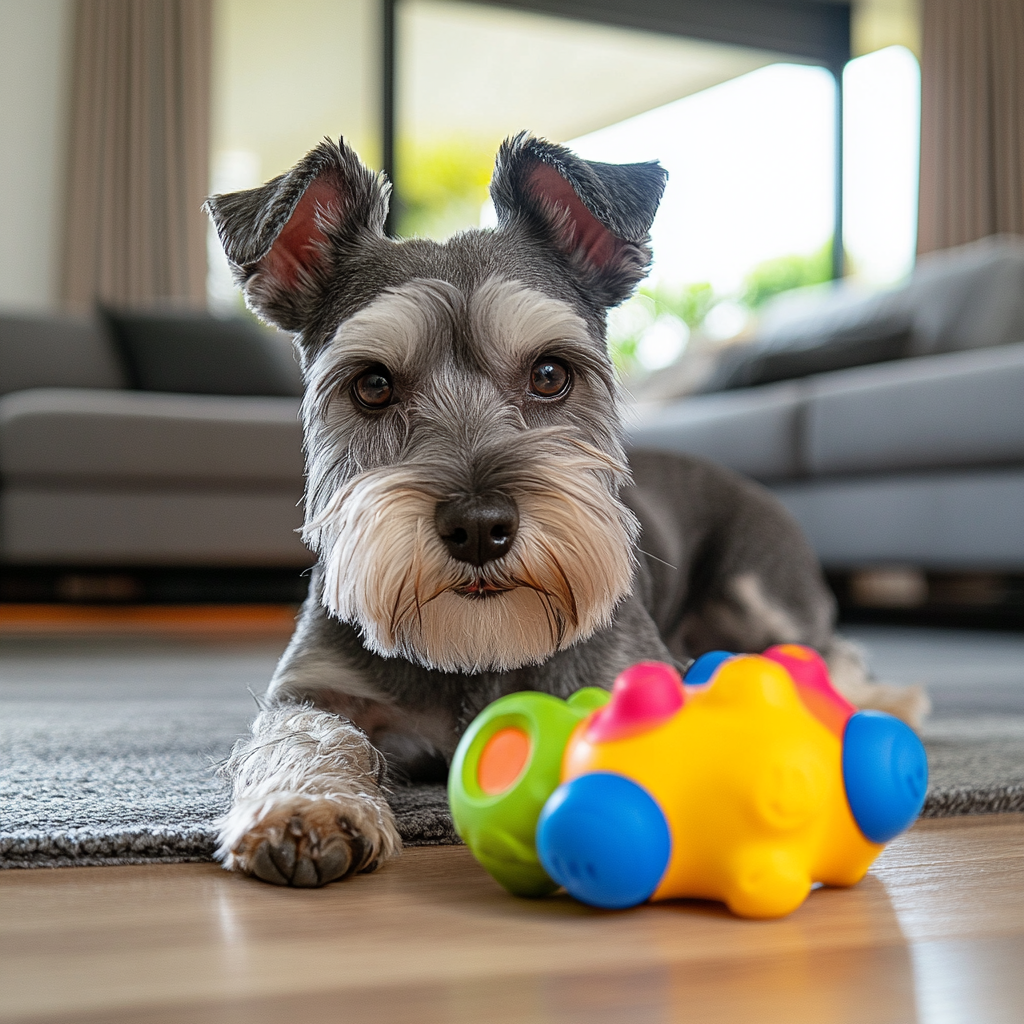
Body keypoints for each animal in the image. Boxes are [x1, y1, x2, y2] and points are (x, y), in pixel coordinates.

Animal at [205, 132, 929, 884]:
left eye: (550, 373)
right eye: (372, 385)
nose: (479, 528)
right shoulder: (315, 687)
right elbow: (305, 733)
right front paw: (307, 805)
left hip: (760, 595)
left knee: (833, 655)